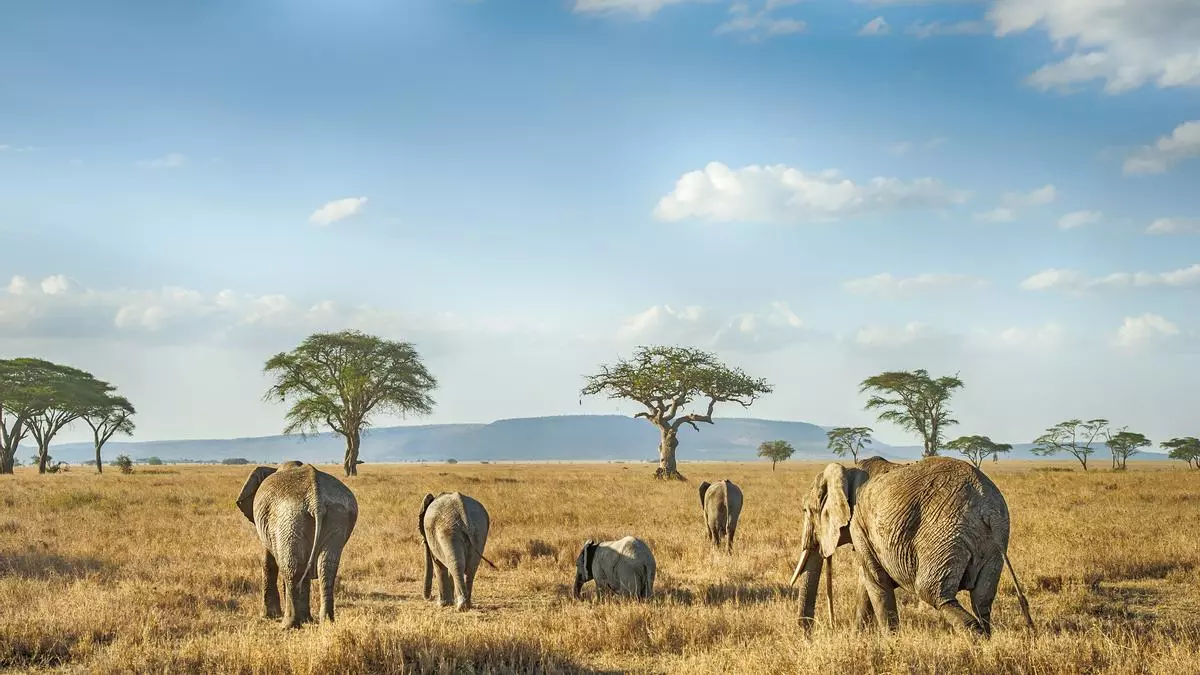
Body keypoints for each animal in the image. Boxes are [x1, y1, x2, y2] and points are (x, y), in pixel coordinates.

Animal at [235, 461, 358, 629]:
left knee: (292, 567)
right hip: (337, 514)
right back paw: (326, 622)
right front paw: (307, 620)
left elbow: (269, 562)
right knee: (326, 566)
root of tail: (316, 500)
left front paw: (269, 616)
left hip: (289, 517)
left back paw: (288, 625)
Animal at [788, 455, 1033, 637]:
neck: (847, 471)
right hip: (994, 542)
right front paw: (858, 639)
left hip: (945, 533)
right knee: (982, 599)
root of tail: (987, 508)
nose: (808, 636)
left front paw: (891, 642)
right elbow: (867, 581)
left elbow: (876, 582)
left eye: (806, 511)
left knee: (933, 593)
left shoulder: (859, 523)